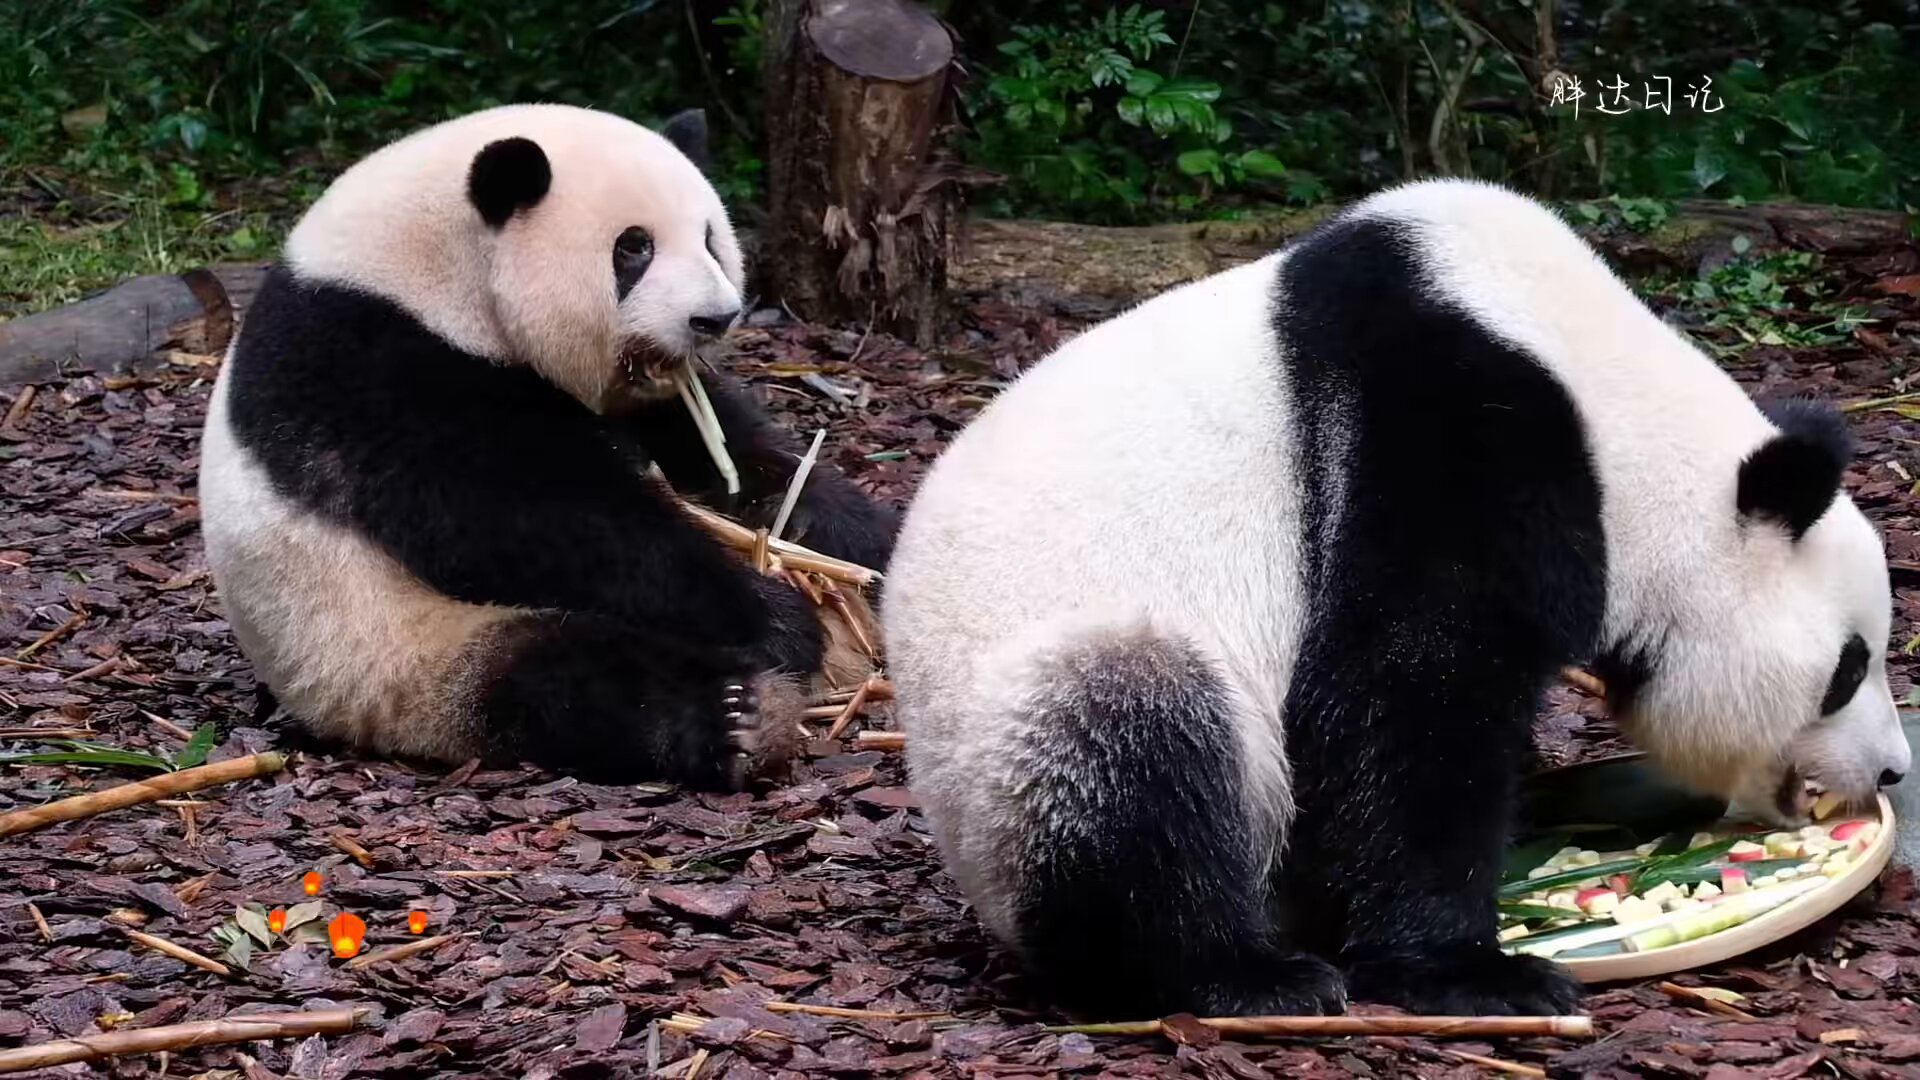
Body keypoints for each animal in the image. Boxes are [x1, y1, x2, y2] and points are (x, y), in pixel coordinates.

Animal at [198, 104, 895, 791]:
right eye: (634, 246)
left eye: (708, 239)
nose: (714, 318)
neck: (430, 272)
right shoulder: (370, 368)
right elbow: (528, 517)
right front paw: (778, 618)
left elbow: (726, 448)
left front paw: (865, 541)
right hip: (386, 650)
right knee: (564, 679)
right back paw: (730, 718)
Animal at [881, 179, 1910, 1019]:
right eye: (1846, 668)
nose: (1893, 770)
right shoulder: (1447, 431)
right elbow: (1406, 688)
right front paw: (1472, 971)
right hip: (1015, 745)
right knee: (1125, 733)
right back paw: (1237, 973)